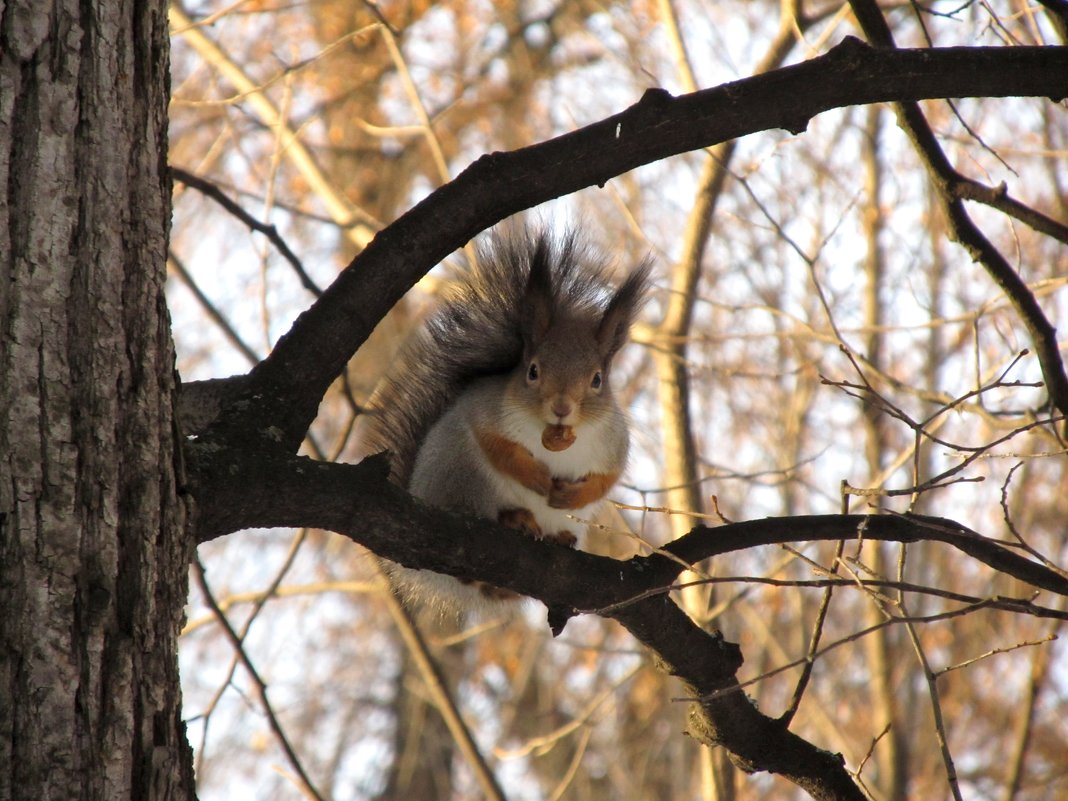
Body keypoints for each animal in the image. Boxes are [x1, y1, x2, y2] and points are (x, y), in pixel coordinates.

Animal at [367, 228, 649, 610]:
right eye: (532, 371)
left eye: (597, 380)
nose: (561, 407)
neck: (556, 434)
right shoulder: (486, 411)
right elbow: (496, 446)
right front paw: (536, 478)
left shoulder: (612, 441)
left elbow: (607, 478)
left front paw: (572, 496)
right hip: (461, 478)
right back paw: (513, 518)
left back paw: (558, 538)